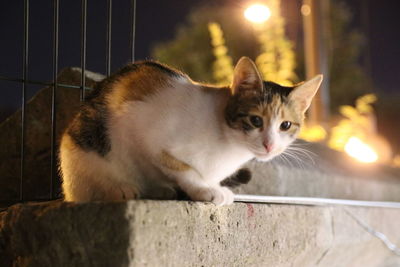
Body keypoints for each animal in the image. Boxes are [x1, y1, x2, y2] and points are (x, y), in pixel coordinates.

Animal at [59, 57, 322, 206]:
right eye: (256, 120)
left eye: (285, 125)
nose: (270, 145)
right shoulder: (143, 129)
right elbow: (183, 168)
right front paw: (205, 190)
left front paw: (210, 186)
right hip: (85, 150)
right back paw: (120, 189)